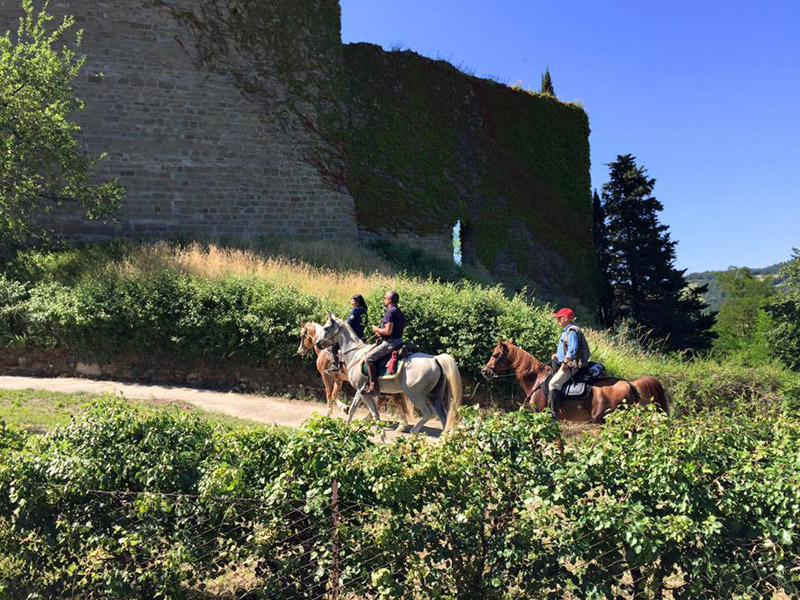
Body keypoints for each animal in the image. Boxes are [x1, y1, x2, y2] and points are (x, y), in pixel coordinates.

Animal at [314, 314, 462, 436]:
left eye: (326, 328)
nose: (318, 343)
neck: (355, 353)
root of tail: (435, 359)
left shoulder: (361, 390)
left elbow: (356, 410)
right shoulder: (363, 391)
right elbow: (364, 411)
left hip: (415, 395)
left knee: (429, 413)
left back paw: (413, 431)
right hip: (434, 397)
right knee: (444, 418)